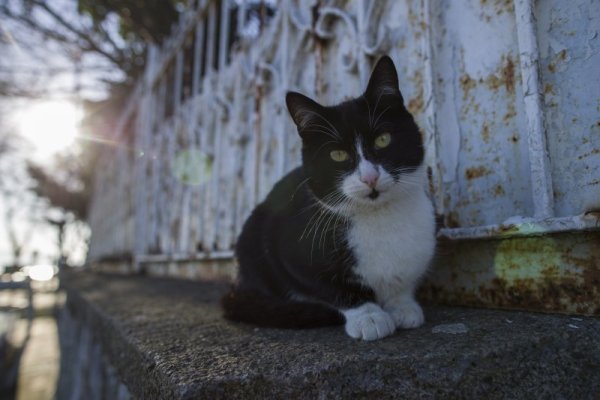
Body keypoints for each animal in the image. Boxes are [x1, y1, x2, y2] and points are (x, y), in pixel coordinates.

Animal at [221, 54, 436, 340]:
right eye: (337, 155)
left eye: (383, 139)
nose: (369, 177)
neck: (379, 216)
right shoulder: (292, 254)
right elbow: (330, 287)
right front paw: (368, 316)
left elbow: (403, 282)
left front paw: (402, 305)